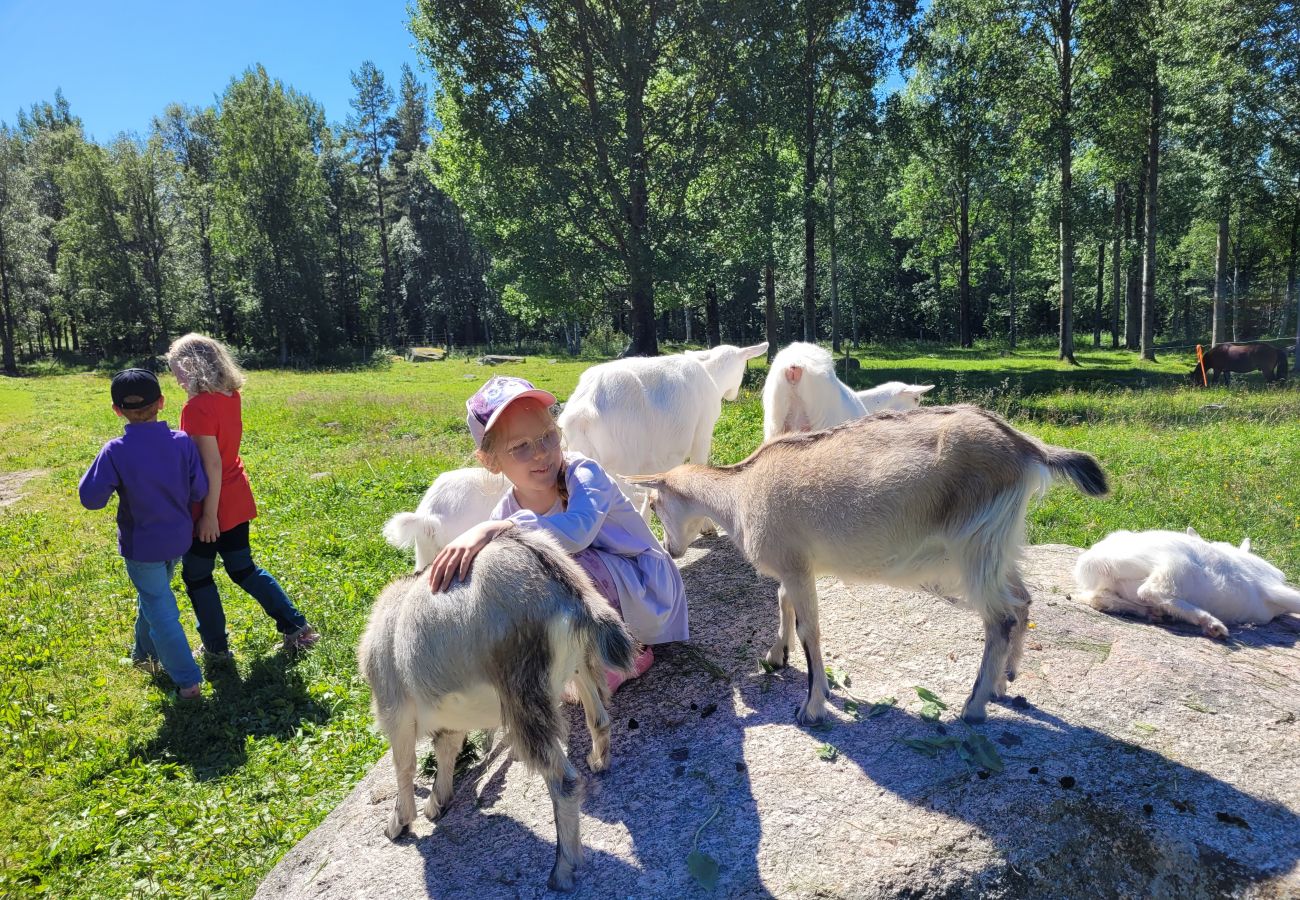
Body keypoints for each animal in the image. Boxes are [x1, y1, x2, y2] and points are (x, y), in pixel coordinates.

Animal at [358, 522, 631, 889]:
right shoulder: (448, 716)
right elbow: (446, 748)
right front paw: (437, 802)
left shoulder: (395, 712)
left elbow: (405, 765)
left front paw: (399, 822)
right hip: (578, 663)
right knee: (598, 718)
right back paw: (599, 761)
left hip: (523, 696)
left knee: (563, 782)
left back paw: (562, 869)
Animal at [629, 405, 1107, 723]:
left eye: (654, 504)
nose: (671, 550)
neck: (740, 490)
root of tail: (1024, 447)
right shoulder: (796, 566)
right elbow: (783, 602)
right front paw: (777, 655)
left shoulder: (796, 565)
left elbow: (810, 629)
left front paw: (812, 705)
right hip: (999, 543)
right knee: (1023, 600)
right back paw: (1004, 680)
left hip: (975, 546)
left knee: (1001, 617)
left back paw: (973, 707)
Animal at [1071, 528, 1294, 639]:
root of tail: (1097, 560)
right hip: (1177, 567)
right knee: (1150, 590)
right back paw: (1212, 625)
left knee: (1100, 598)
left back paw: (1153, 613)